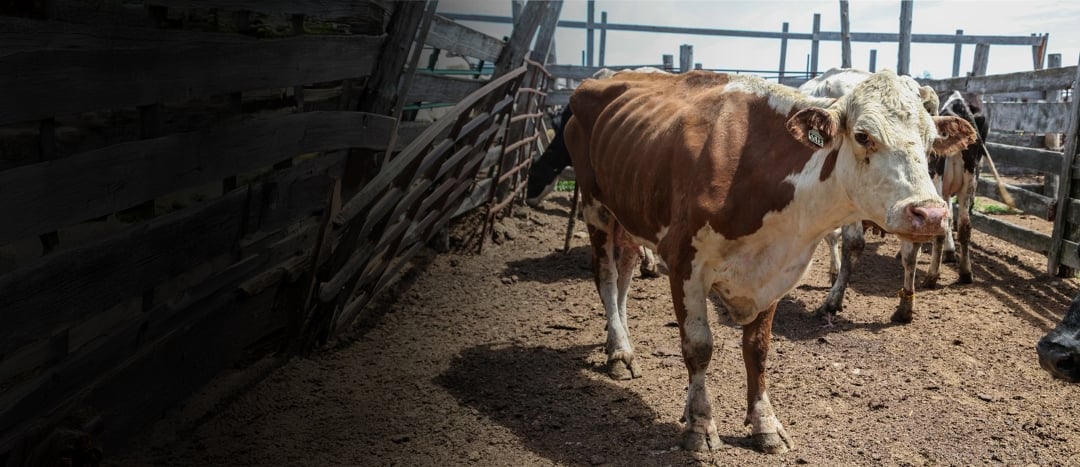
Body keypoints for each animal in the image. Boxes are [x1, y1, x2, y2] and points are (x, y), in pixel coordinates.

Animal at [564, 69, 976, 453]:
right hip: (595, 206)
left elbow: (758, 350)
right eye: (863, 136)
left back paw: (621, 341)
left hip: (627, 212)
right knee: (606, 276)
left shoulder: (776, 271)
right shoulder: (684, 263)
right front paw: (700, 425)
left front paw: (765, 424)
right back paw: (619, 352)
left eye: (930, 141)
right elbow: (698, 347)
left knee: (625, 273)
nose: (930, 214)